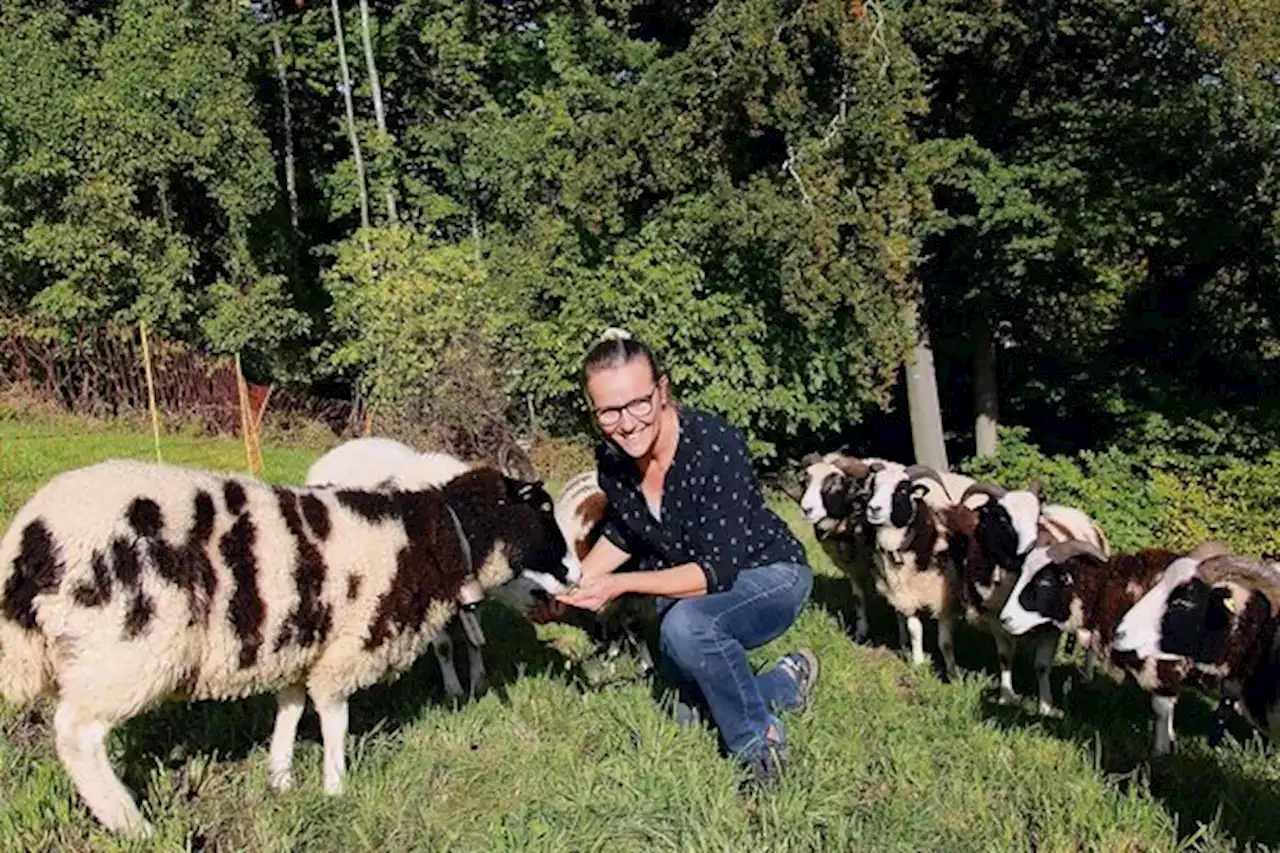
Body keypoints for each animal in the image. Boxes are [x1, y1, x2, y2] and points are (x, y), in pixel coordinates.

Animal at [0, 458, 573, 829]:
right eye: (543, 511)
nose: (569, 573)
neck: (433, 537)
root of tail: (30, 540)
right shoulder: (344, 649)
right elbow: (334, 721)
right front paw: (336, 787)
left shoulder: (300, 648)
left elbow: (290, 710)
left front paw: (280, 778)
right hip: (126, 648)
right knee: (77, 736)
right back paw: (130, 824)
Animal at [942, 481, 1111, 712]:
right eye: (1002, 518)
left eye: (1037, 516)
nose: (1031, 548)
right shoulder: (996, 619)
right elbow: (1005, 657)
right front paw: (1006, 697)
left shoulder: (1050, 626)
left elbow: (1041, 666)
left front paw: (1046, 707)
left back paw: (1088, 676)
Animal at [993, 537, 1233, 753]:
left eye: (1044, 581)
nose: (1005, 619)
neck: (1113, 592)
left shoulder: (1162, 666)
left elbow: (1161, 710)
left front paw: (1161, 752)